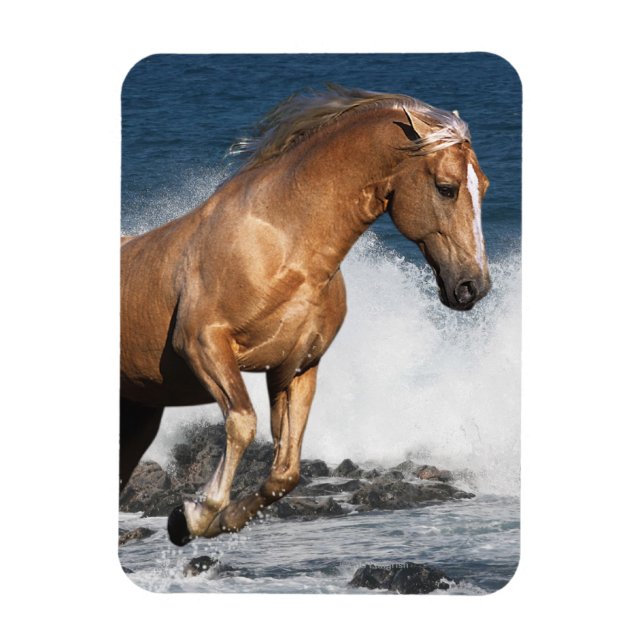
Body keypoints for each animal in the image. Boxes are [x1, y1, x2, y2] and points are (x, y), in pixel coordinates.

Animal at [120, 86, 491, 546]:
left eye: (485, 187)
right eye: (447, 188)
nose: (473, 286)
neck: (283, 246)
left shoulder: (295, 367)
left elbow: (285, 471)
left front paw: (221, 519)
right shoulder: (202, 345)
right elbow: (243, 422)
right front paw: (193, 515)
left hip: (138, 416)